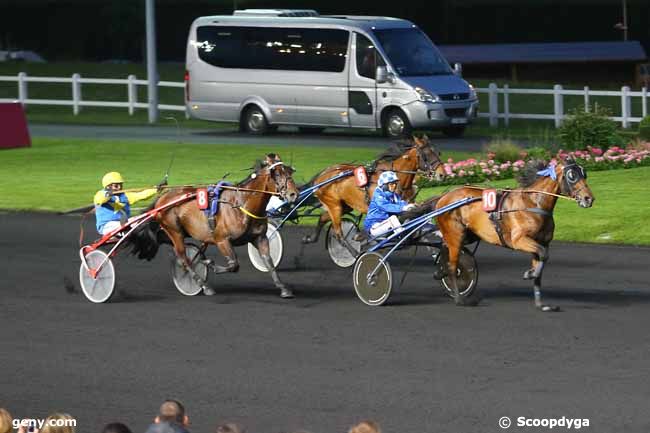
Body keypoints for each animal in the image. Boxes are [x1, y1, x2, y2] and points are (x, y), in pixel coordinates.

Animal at [136, 154, 302, 298]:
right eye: (277, 174)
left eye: (289, 171)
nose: (294, 194)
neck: (242, 204)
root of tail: (162, 198)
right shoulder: (222, 239)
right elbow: (234, 264)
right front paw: (209, 264)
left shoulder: (260, 238)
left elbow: (269, 262)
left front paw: (283, 288)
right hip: (174, 230)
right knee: (183, 258)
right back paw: (203, 285)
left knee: (178, 248)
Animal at [300, 137, 442, 248]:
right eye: (427, 154)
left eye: (438, 152)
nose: (442, 173)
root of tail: (322, 175)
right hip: (334, 205)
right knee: (340, 235)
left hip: (343, 206)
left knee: (322, 217)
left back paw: (309, 238)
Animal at [430, 157, 592, 312]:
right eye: (572, 175)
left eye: (584, 174)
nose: (589, 198)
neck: (534, 204)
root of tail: (443, 197)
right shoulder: (519, 240)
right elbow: (543, 255)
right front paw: (530, 273)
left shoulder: (542, 242)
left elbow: (540, 265)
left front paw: (541, 304)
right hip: (455, 234)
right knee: (452, 266)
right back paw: (459, 299)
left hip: (468, 234)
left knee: (444, 247)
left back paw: (440, 271)